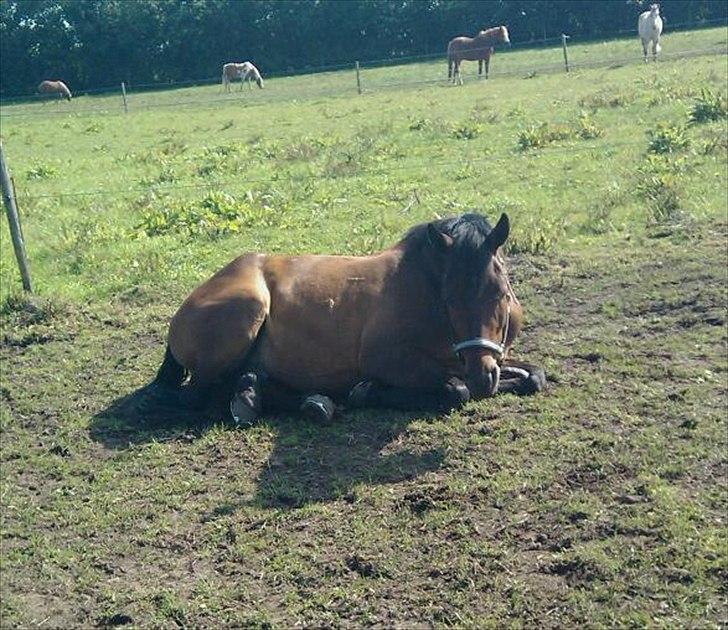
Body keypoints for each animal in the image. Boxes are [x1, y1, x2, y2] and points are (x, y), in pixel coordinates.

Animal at [151, 212, 544, 424]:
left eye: (501, 292)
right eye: (448, 299)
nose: (482, 375)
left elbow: (535, 376)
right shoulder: (385, 359)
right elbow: (456, 390)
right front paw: (368, 391)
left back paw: (300, 400)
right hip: (246, 308)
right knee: (200, 395)